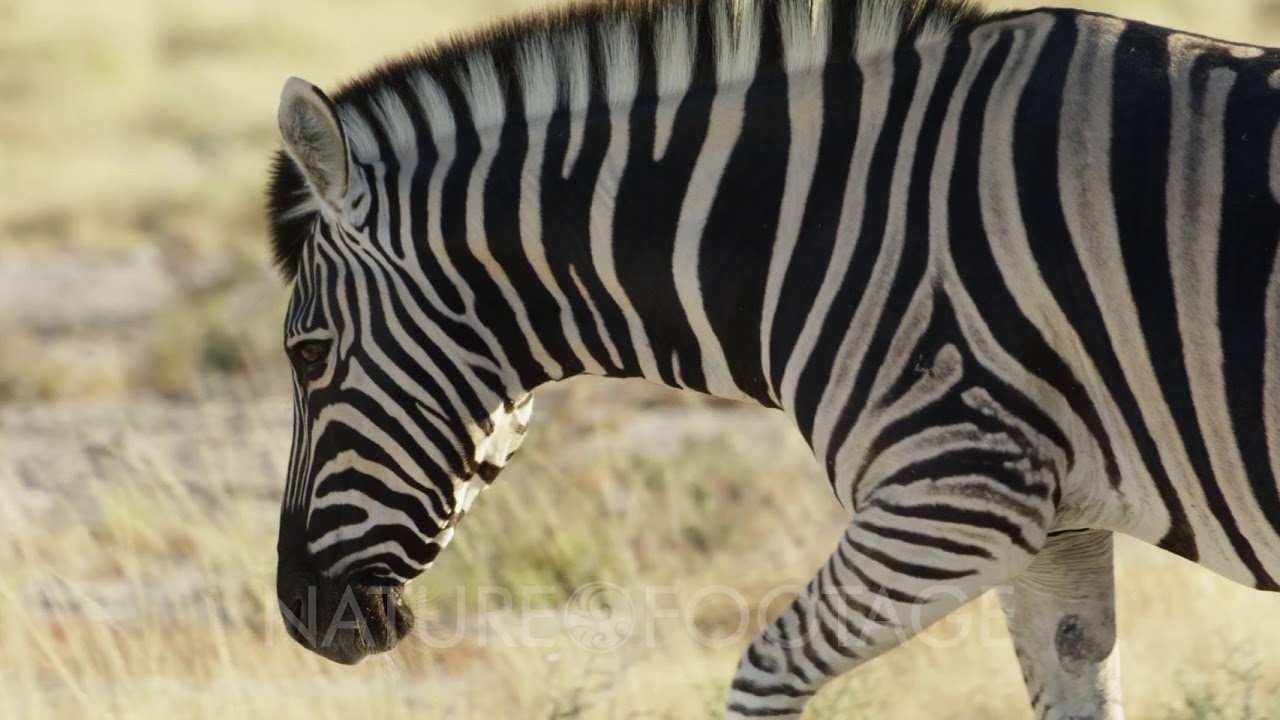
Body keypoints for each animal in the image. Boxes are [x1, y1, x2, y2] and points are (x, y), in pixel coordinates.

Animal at [267, 0, 1280, 716]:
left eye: (309, 357)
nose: (299, 617)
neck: (819, 224)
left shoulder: (954, 499)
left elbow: (762, 674)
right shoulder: (1057, 523)